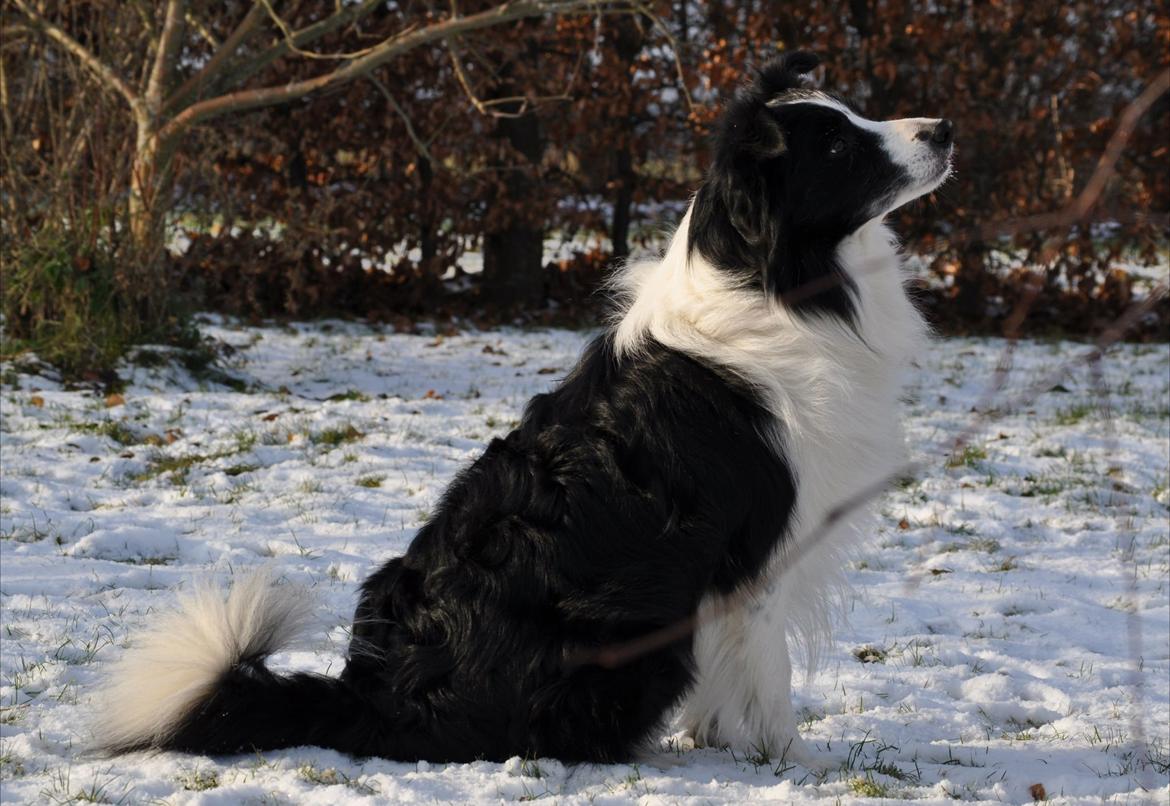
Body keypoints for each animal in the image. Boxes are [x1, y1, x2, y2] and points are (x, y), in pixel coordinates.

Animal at [91, 53, 950, 762]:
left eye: (854, 114)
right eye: (835, 147)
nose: (943, 128)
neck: (775, 279)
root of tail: (375, 698)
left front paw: (721, 741)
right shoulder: (762, 553)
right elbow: (766, 680)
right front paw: (785, 761)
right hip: (636, 645)